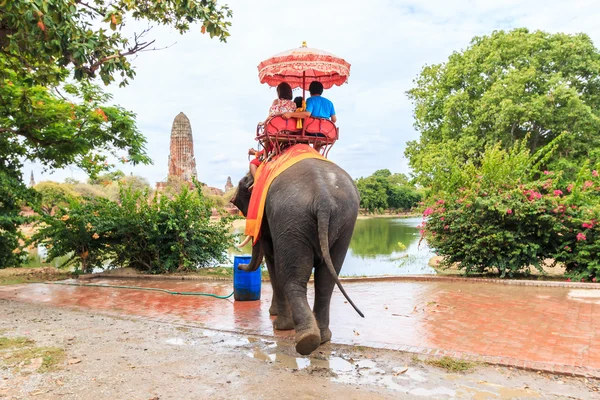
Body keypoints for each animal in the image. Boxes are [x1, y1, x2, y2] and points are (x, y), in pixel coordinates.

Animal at [231, 158, 364, 354]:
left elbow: (272, 259)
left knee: (292, 277)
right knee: (326, 279)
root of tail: (323, 197)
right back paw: (321, 337)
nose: (240, 265)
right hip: (344, 221)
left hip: (292, 218)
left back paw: (303, 338)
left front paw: (278, 322)